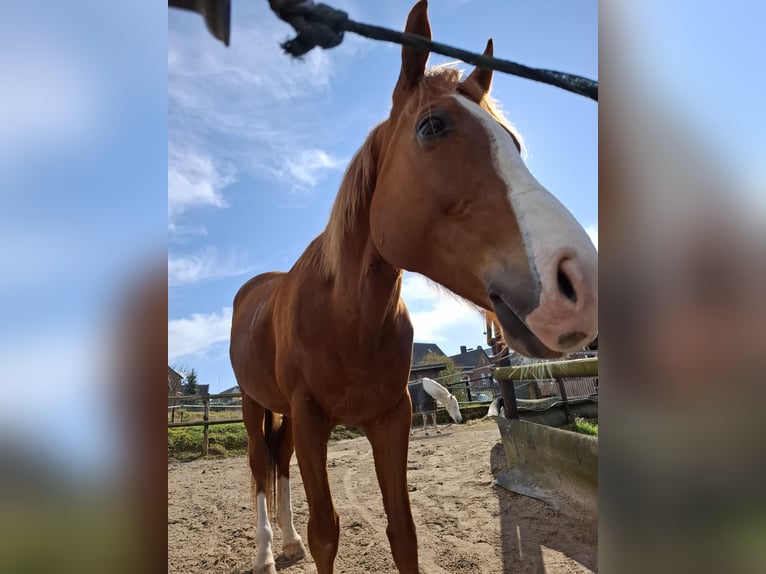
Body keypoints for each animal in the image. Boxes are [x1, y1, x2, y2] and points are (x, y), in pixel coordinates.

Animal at [228, 2, 600, 572]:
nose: (579, 283)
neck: (345, 317)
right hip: (254, 404)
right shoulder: (312, 418)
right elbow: (326, 533)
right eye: (431, 126)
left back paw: (286, 542)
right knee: (257, 468)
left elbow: (402, 530)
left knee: (280, 463)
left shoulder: (391, 417)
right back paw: (267, 551)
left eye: (514, 143)